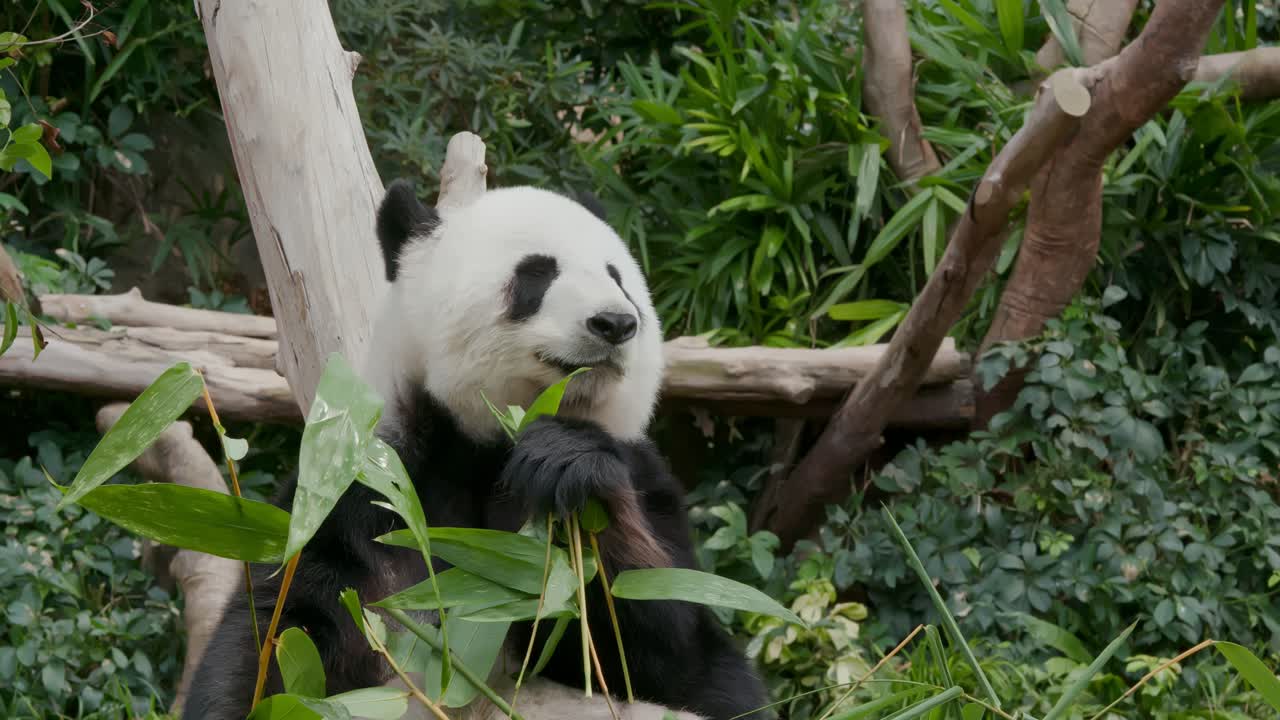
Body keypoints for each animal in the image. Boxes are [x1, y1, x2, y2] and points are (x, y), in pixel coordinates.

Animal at [183, 180, 771, 720]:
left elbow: (666, 642)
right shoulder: (367, 490)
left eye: (617, 276)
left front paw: (567, 464)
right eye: (537, 273)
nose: (616, 323)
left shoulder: (647, 482)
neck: (486, 446)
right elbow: (280, 638)